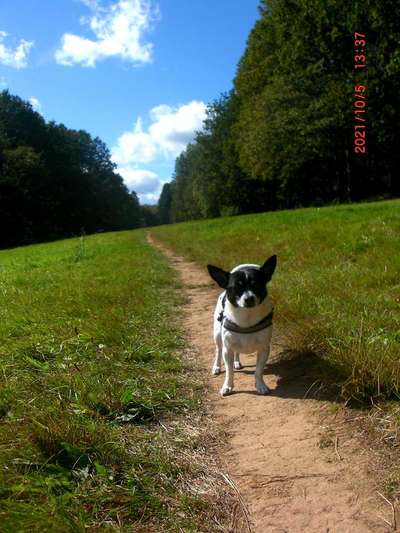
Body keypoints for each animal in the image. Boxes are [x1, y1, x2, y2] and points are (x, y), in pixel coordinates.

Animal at [208, 256, 276, 396]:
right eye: (236, 287)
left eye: (257, 285)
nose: (249, 298)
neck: (246, 317)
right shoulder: (227, 350)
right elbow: (229, 372)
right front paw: (227, 386)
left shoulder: (264, 349)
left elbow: (258, 371)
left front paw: (260, 385)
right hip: (217, 335)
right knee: (218, 350)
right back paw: (216, 367)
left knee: (237, 352)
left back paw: (237, 362)